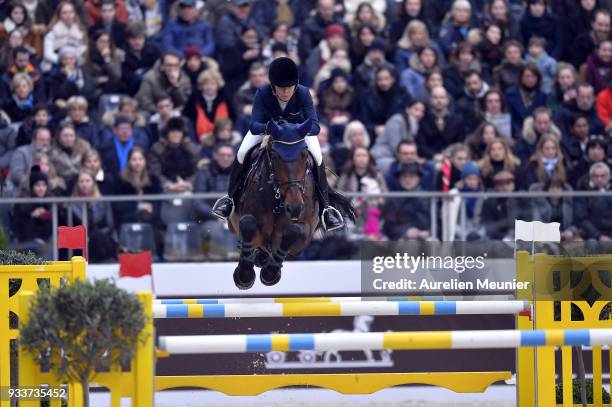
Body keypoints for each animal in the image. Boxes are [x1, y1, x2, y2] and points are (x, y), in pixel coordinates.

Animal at [227, 118, 318, 290]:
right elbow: (248, 223)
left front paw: (270, 273)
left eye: (304, 155)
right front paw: (244, 276)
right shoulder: (243, 219)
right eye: (275, 156)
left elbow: (294, 230)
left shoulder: (306, 232)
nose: (294, 208)